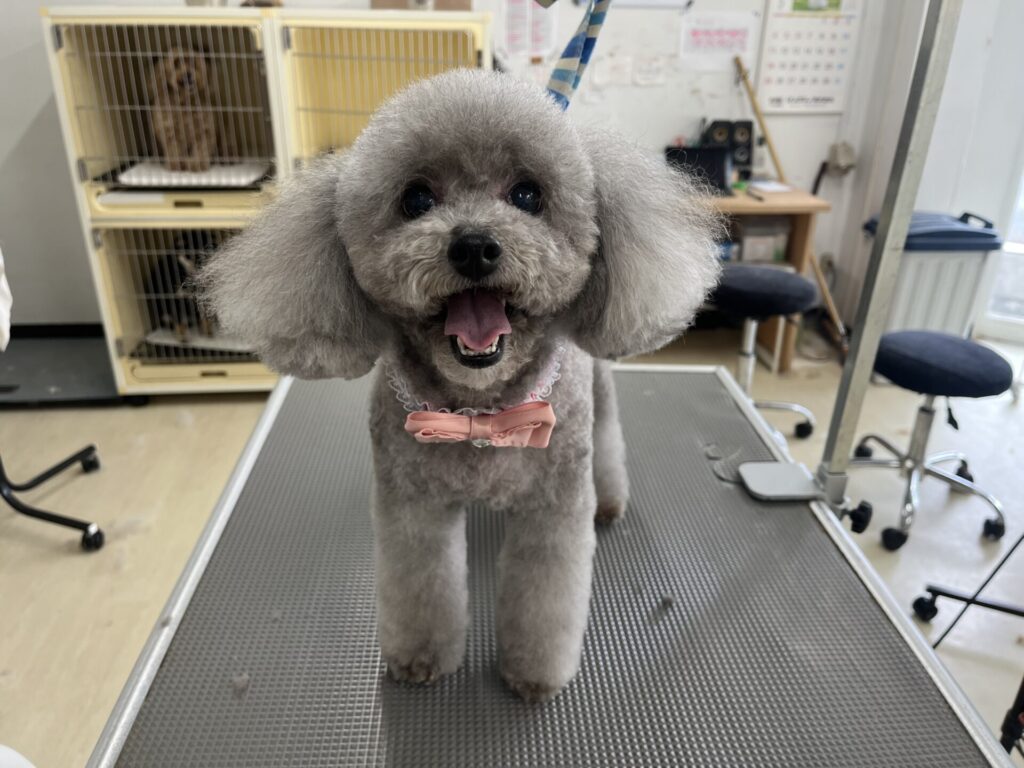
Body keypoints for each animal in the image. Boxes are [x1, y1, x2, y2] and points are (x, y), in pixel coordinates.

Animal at [201, 69, 720, 702]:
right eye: (416, 199)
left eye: (528, 195)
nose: (474, 245)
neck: (480, 413)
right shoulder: (412, 510)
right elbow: (421, 589)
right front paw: (422, 659)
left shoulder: (552, 513)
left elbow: (546, 602)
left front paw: (535, 675)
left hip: (597, 396)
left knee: (610, 442)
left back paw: (610, 499)